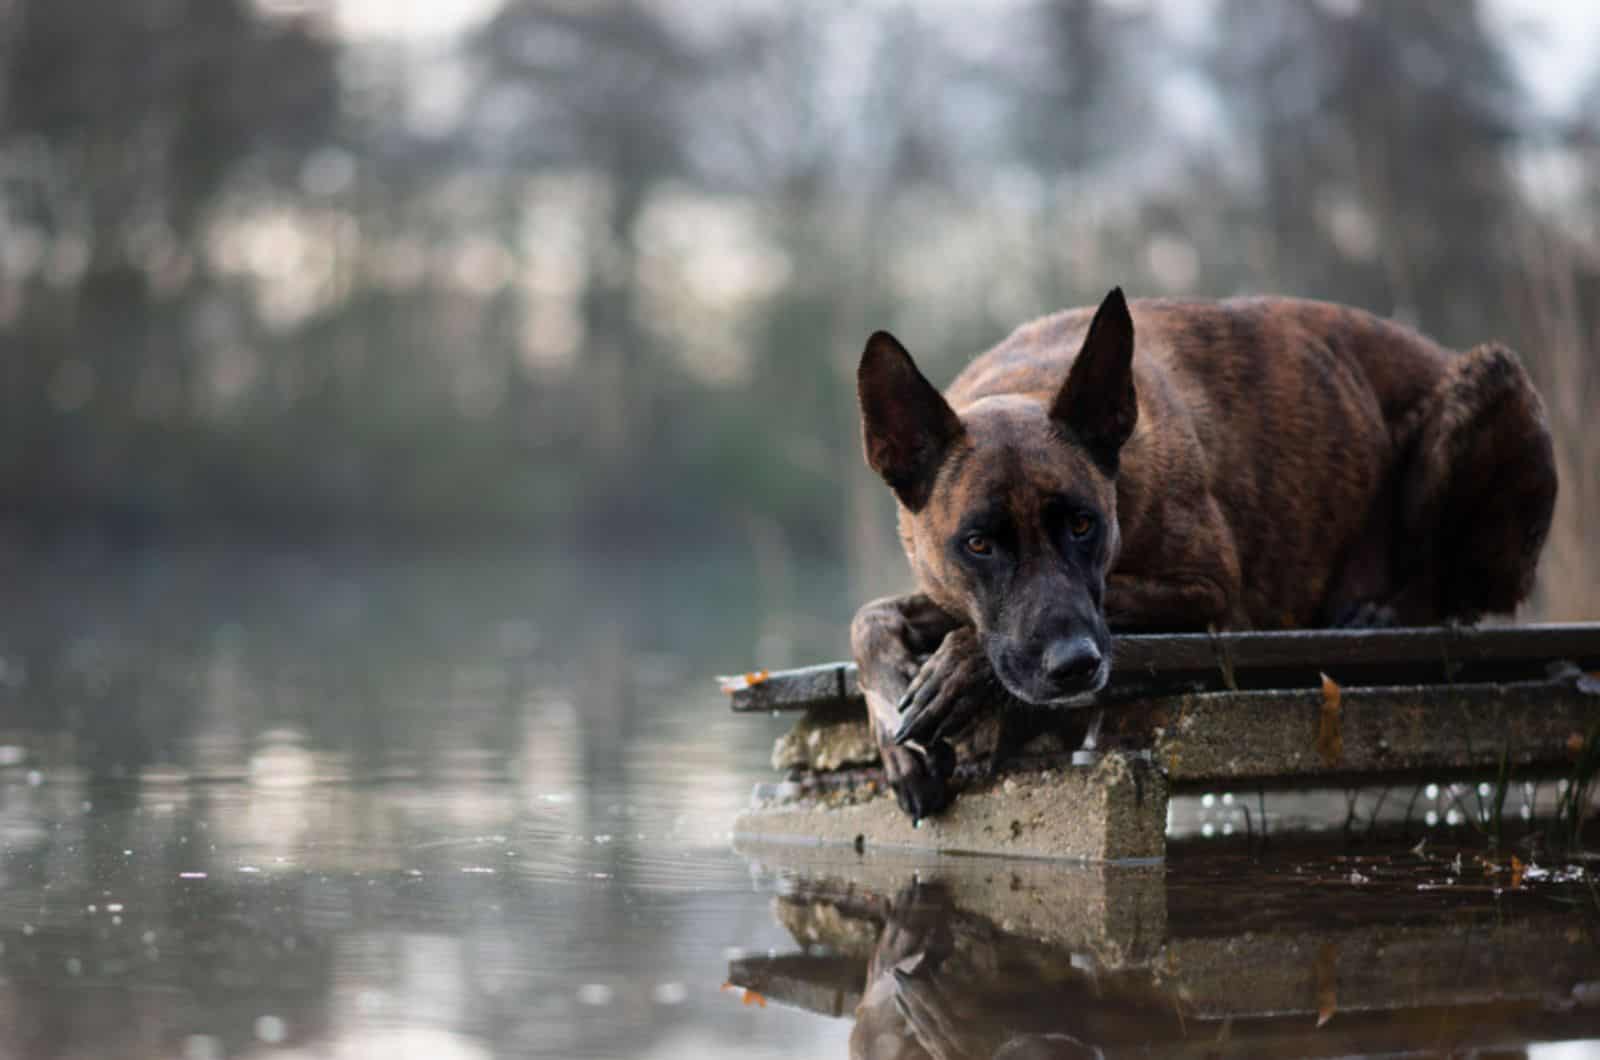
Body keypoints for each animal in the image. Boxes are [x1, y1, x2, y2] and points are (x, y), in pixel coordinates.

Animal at [857, 291, 1555, 819]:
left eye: (1083, 525)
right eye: (978, 544)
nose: (1075, 667)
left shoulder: (1209, 591)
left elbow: (1087, 607)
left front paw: (960, 669)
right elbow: (868, 617)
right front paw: (896, 732)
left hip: (1486, 384)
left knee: (1454, 586)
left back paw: (1383, 612)